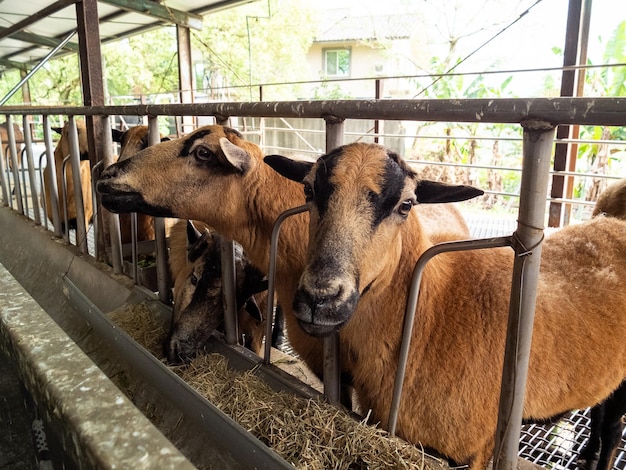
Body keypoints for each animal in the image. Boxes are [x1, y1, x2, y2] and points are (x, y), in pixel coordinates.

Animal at [266, 143, 624, 470]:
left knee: (612, 429)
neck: (433, 312)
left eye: (406, 205)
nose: (319, 298)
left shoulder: (474, 449)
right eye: (308, 189)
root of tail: (614, 225)